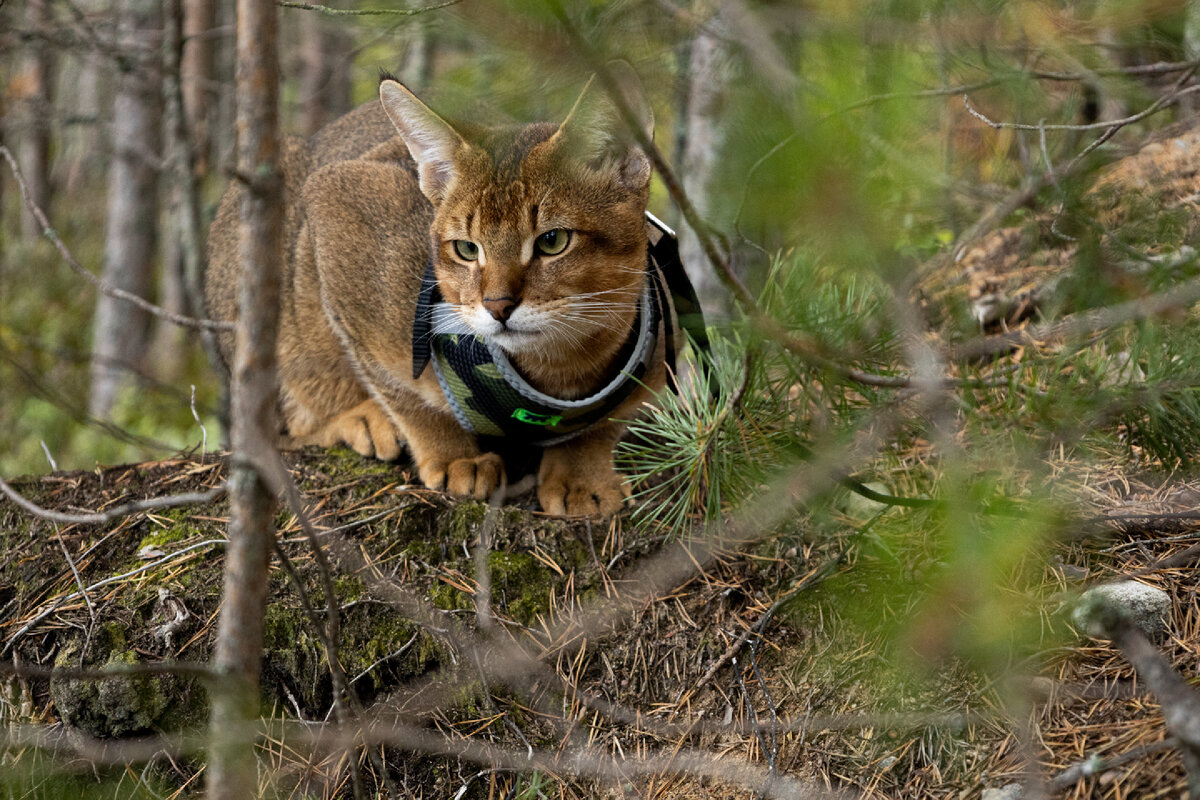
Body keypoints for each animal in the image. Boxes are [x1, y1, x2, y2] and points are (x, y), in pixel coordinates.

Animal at [207, 64, 676, 520]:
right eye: (466, 248)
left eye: (552, 240)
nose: (498, 306)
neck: (560, 368)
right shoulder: (336, 199)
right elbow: (401, 394)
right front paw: (454, 458)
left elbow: (603, 425)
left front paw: (582, 476)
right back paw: (359, 417)